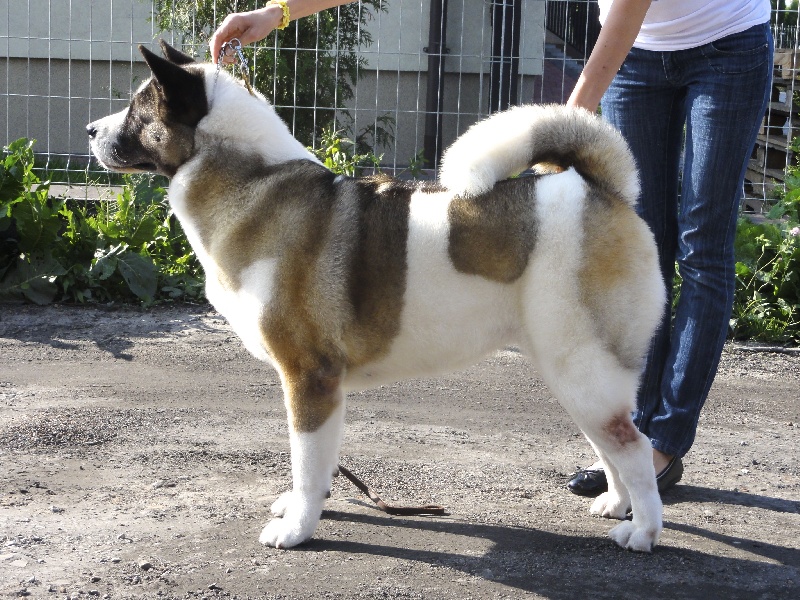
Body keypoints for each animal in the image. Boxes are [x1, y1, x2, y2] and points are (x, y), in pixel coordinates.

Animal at [86, 42, 664, 552]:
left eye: (139, 109)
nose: (91, 129)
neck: (254, 180)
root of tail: (601, 189)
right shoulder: (318, 388)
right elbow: (315, 465)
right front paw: (303, 506)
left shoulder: (309, 378)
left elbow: (306, 459)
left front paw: (297, 529)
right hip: (575, 374)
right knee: (611, 443)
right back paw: (615, 504)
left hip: (582, 369)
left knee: (635, 447)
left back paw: (642, 531)